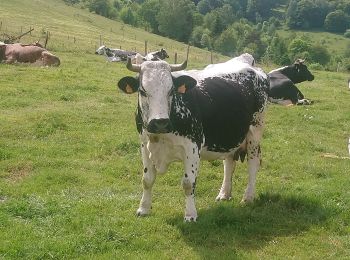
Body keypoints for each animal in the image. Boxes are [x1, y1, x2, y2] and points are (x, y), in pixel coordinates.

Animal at [117, 52, 268, 221]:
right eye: (143, 91)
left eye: (171, 90)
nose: (160, 122)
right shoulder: (145, 144)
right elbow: (147, 179)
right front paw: (143, 209)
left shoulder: (193, 146)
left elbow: (188, 183)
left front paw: (190, 215)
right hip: (230, 135)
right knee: (229, 163)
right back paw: (224, 194)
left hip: (255, 131)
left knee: (253, 163)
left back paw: (248, 197)